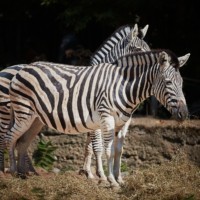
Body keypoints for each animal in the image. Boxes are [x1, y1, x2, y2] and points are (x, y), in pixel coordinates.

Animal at [0, 23, 150, 177]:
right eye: (138, 49)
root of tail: (6, 69)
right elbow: (96, 146)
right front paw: (97, 173)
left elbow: (89, 146)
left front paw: (87, 171)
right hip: (6, 112)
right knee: (5, 138)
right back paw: (5, 170)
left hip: (34, 119)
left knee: (21, 141)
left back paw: (28, 171)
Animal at [5, 48, 189, 188]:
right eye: (168, 82)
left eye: (181, 83)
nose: (184, 114)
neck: (123, 87)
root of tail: (22, 69)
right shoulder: (106, 118)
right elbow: (105, 150)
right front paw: (111, 180)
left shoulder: (121, 124)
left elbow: (118, 151)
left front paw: (118, 179)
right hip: (23, 113)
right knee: (9, 136)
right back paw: (11, 171)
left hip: (36, 119)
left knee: (21, 142)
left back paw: (24, 174)